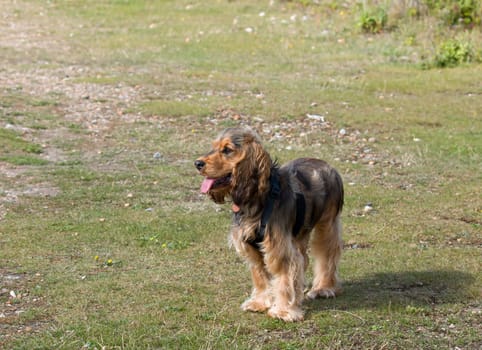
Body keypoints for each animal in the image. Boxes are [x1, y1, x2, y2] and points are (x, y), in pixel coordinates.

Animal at [194, 127, 344, 322]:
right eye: (213, 147)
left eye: (227, 150)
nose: (197, 163)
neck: (258, 198)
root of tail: (329, 166)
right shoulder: (252, 247)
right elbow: (260, 276)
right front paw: (259, 303)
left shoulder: (279, 247)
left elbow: (285, 278)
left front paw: (283, 311)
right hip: (299, 233)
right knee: (303, 258)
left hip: (327, 224)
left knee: (327, 254)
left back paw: (323, 288)